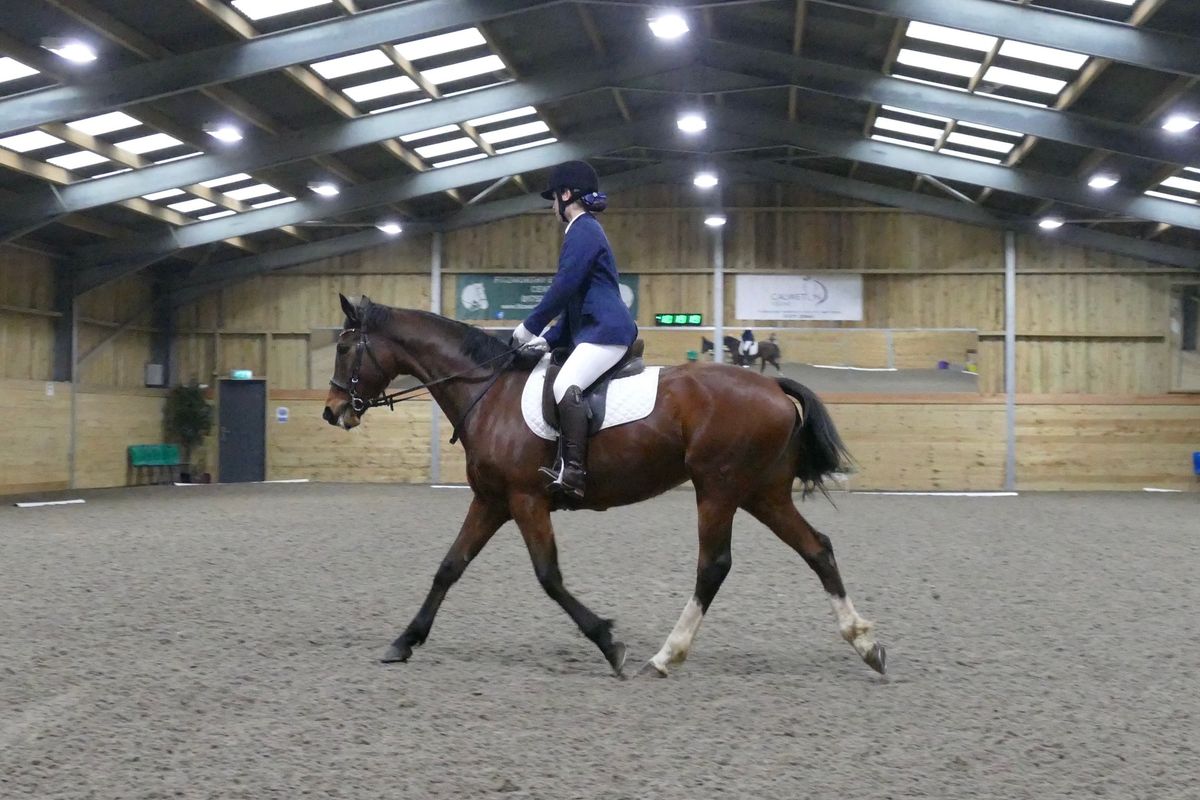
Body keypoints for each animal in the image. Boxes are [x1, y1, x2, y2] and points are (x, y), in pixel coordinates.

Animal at [324, 297, 888, 681]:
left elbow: (549, 577)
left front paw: (608, 643)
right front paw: (404, 641)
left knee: (714, 567)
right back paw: (865, 644)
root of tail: (772, 385)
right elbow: (449, 568)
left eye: (345, 347)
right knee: (817, 548)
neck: (488, 390)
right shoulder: (492, 500)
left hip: (719, 489)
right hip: (761, 493)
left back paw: (665, 656)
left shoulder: (526, 501)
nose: (333, 412)